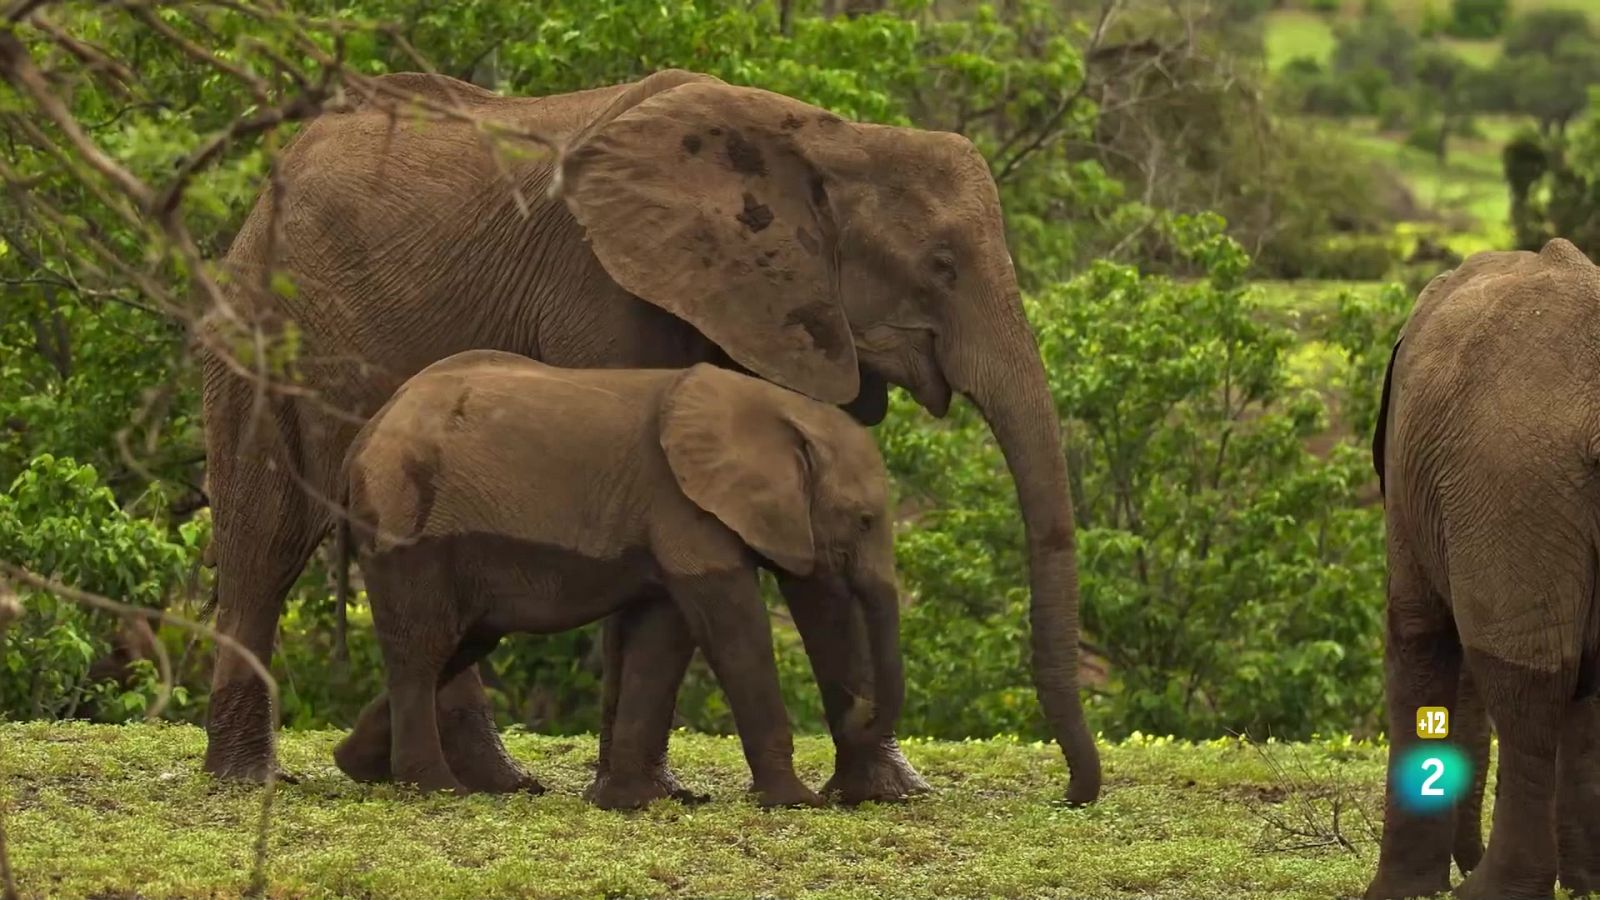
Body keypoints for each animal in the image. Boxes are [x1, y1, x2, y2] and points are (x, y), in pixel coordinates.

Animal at [331, 350, 908, 807]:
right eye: (864, 521)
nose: (862, 713)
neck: (777, 407)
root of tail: (360, 440)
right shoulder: (682, 506)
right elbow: (733, 630)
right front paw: (796, 802)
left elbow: (662, 634)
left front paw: (636, 802)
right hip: (404, 519)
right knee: (425, 649)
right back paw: (436, 788)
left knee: (461, 641)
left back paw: (360, 765)